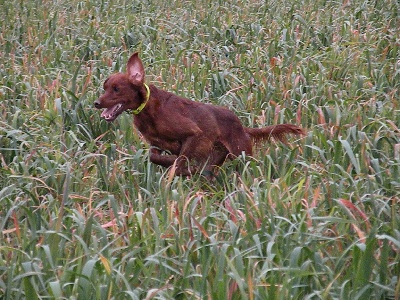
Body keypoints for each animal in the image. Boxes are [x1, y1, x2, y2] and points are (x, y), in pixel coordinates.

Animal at [95, 52, 304, 176]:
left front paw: (184, 168)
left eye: (116, 89)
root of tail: (241, 126)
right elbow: (156, 158)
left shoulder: (193, 134)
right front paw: (182, 168)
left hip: (242, 154)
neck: (148, 110)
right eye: (105, 87)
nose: (96, 103)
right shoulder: (155, 145)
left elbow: (180, 159)